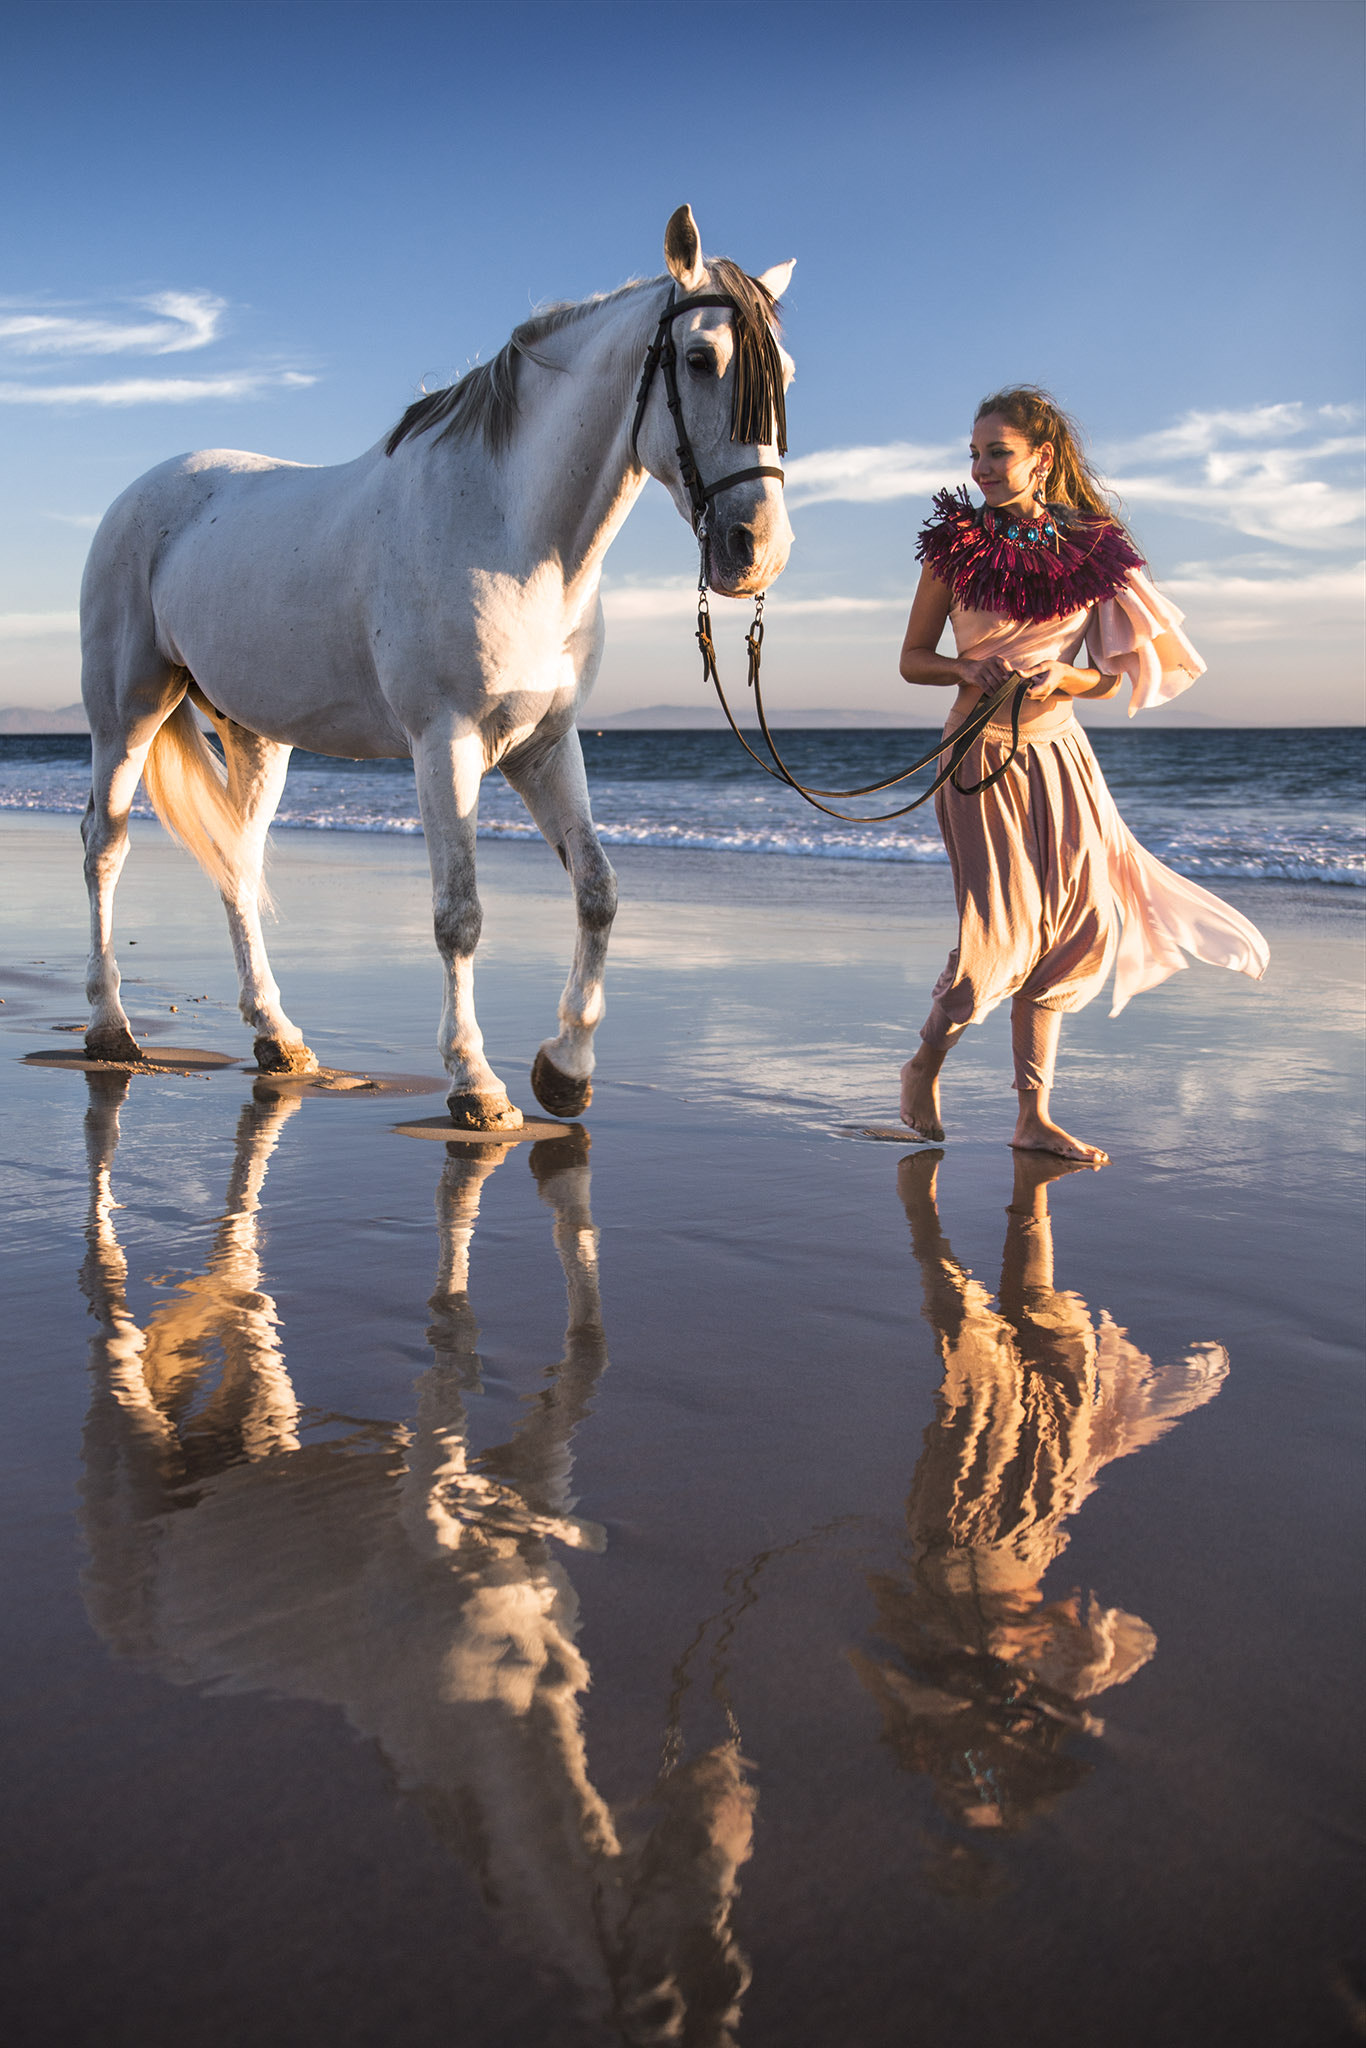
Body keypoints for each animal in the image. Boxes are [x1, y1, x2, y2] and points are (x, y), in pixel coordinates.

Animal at [78, 204, 794, 1128]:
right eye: (703, 359)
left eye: (785, 375)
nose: (757, 550)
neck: (513, 530)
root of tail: (141, 494)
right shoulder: (443, 743)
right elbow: (460, 916)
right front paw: (476, 1083)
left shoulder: (545, 745)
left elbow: (597, 890)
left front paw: (566, 1066)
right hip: (125, 715)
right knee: (104, 847)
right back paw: (111, 1028)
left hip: (257, 737)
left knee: (237, 861)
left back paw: (278, 1037)